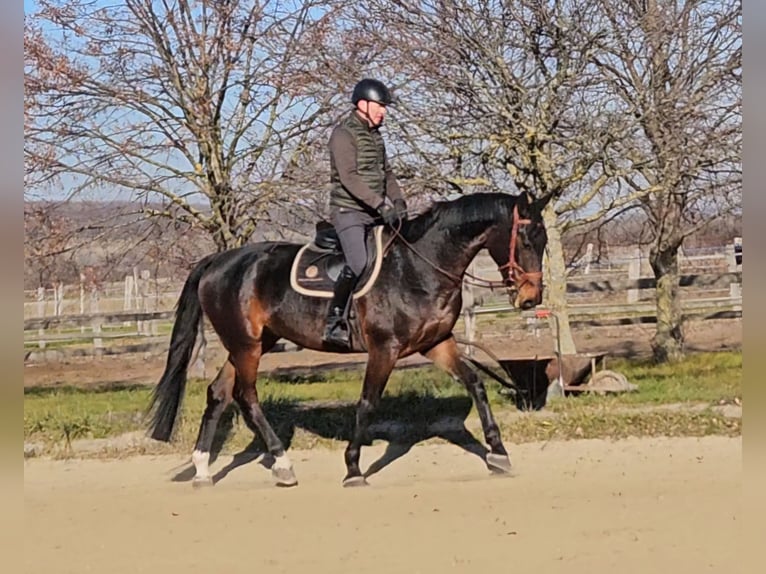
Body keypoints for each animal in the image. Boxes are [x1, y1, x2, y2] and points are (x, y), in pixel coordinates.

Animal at [147, 191, 548, 488]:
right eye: (526, 240)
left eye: (544, 241)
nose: (531, 299)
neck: (419, 266)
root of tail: (218, 261)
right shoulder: (384, 349)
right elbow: (368, 402)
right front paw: (353, 468)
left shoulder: (437, 343)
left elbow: (476, 383)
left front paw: (498, 452)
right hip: (246, 346)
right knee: (246, 397)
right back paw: (282, 464)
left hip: (252, 343)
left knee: (218, 393)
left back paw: (202, 470)